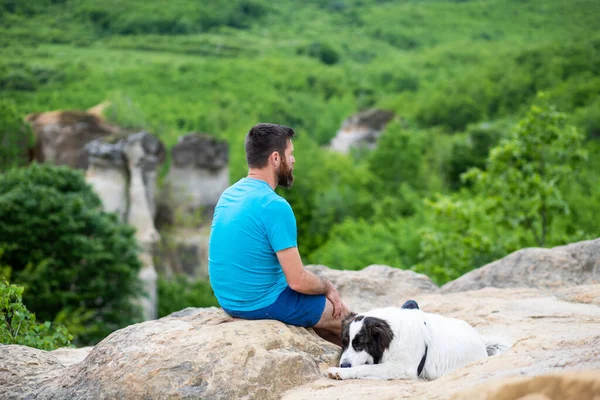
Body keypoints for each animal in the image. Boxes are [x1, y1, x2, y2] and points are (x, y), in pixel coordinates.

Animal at [328, 300, 510, 382]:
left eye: (360, 343)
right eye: (344, 343)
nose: (343, 365)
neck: (392, 338)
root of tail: (481, 341)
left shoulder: (402, 368)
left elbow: (365, 368)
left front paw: (341, 372)